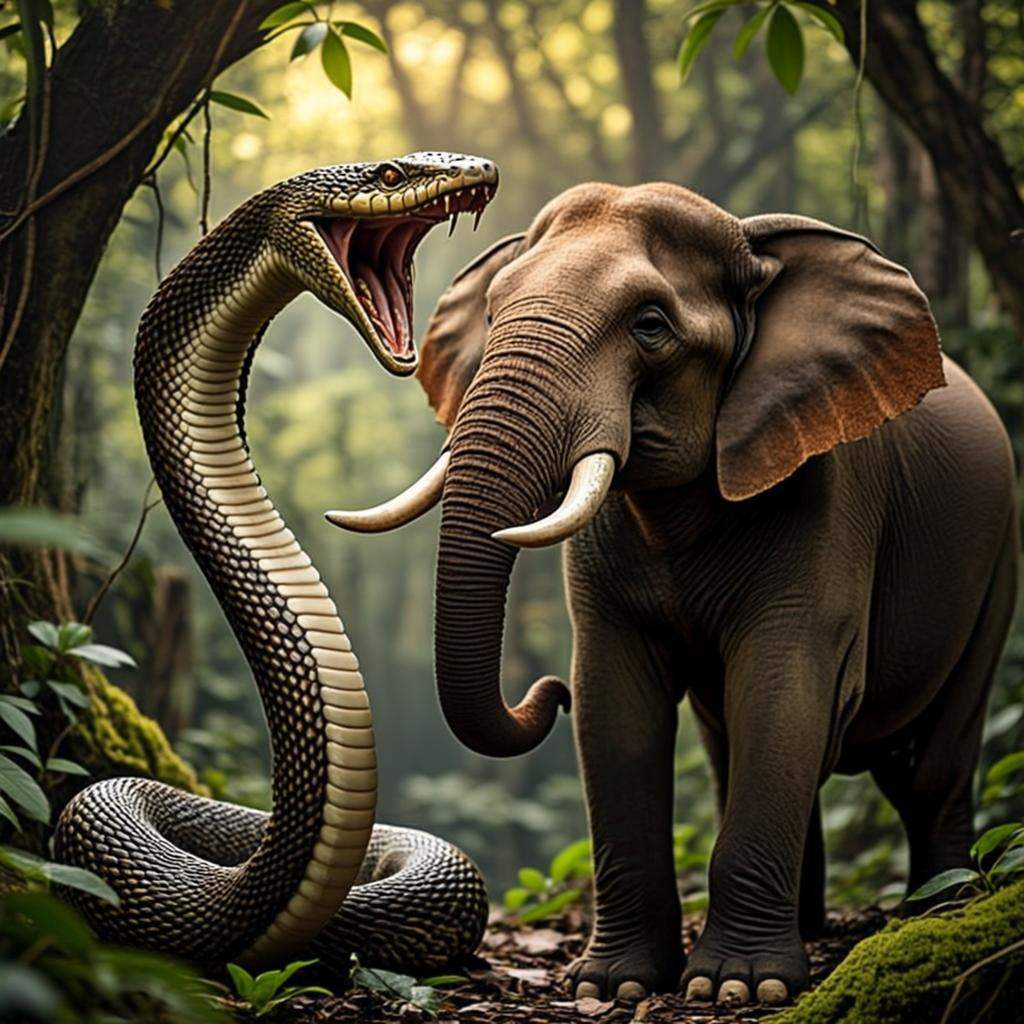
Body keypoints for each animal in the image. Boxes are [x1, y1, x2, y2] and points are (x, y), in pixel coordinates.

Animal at [329, 182, 1019, 1007]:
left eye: (651, 326)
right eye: (494, 313)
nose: (546, 691)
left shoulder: (829, 495)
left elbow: (784, 689)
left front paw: (738, 990)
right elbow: (614, 701)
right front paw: (614, 986)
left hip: (1000, 557)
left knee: (931, 767)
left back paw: (936, 913)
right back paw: (813, 928)